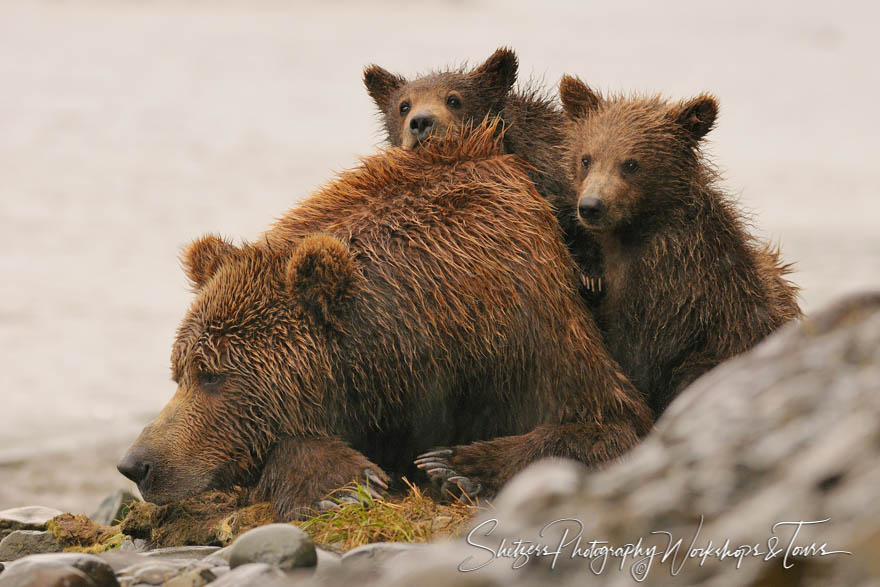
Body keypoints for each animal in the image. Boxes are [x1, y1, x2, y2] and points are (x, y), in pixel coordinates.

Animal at [118, 124, 652, 520]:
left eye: (213, 375)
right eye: (179, 372)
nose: (136, 464)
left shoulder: (531, 331)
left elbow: (608, 424)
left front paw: (456, 465)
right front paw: (340, 484)